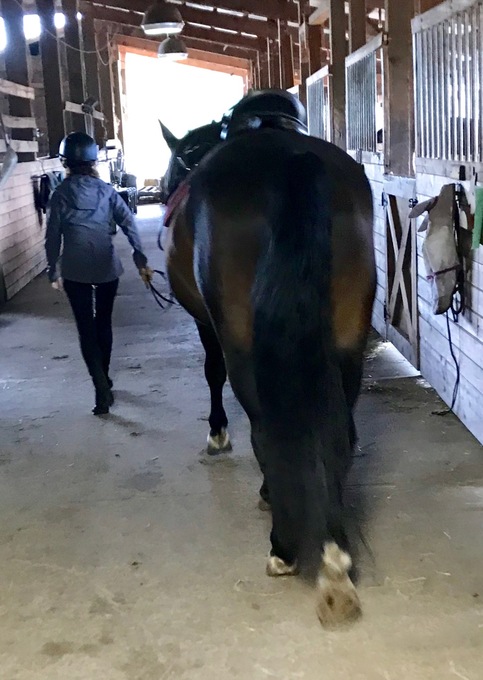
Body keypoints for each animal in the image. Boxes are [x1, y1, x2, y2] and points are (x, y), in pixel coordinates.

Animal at [159, 90, 376, 627]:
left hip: (244, 344)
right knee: (337, 427)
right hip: (349, 336)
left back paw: (285, 547)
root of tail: (291, 161)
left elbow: (211, 373)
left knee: (265, 425)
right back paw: (335, 555)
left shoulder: (209, 327)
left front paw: (217, 435)